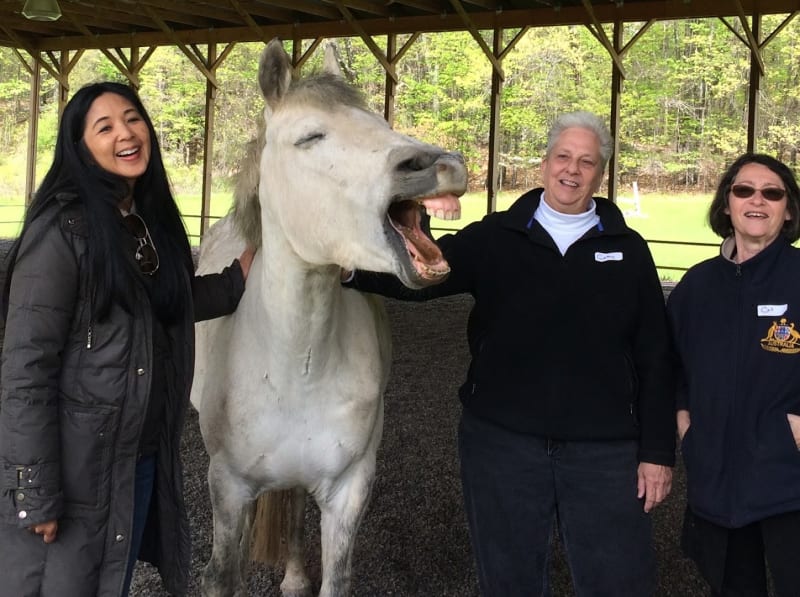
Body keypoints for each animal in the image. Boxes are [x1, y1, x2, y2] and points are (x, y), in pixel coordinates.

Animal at [190, 38, 467, 597]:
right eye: (310, 137)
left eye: (379, 121)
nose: (438, 164)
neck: (298, 363)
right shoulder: (228, 486)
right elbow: (221, 573)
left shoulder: (349, 488)